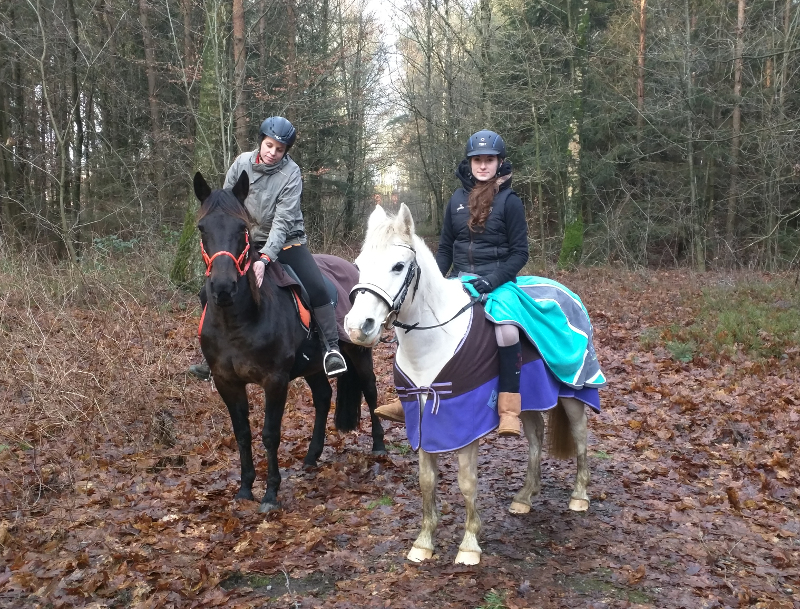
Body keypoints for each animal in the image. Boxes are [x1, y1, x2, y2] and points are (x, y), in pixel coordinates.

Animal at [193, 171, 386, 513]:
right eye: (203, 228)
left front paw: (271, 493)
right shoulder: (227, 382)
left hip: (359, 353)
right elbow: (242, 433)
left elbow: (270, 434)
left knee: (371, 390)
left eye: (242, 229)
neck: (238, 321)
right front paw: (245, 489)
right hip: (313, 365)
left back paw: (379, 446)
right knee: (323, 397)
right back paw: (312, 455)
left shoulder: (275, 380)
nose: (223, 287)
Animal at [344, 204, 602, 565]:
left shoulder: (465, 424)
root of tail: (568, 294)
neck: (435, 339)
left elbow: (467, 483)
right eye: (359, 265)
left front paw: (468, 544)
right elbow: (426, 481)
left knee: (580, 437)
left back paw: (579, 495)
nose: (358, 327)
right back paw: (525, 496)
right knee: (535, 438)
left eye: (398, 266)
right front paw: (424, 542)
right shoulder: (422, 420)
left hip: (574, 393)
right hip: (528, 400)